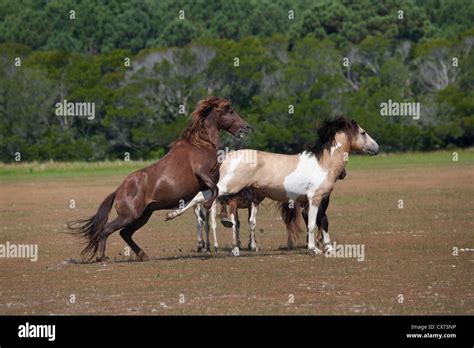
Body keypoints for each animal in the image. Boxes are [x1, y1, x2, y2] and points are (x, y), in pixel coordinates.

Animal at [69, 96, 252, 262]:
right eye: (230, 110)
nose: (247, 127)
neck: (201, 144)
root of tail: (118, 190)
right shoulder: (203, 174)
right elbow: (215, 191)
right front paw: (216, 214)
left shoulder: (207, 183)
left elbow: (215, 194)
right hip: (129, 216)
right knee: (107, 230)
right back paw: (101, 257)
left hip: (143, 216)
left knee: (124, 233)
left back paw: (142, 255)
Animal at [165, 118, 380, 254]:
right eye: (363, 132)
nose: (376, 148)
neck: (322, 163)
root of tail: (227, 156)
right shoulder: (314, 199)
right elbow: (313, 224)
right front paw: (314, 249)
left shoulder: (314, 202)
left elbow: (323, 222)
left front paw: (327, 247)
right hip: (227, 187)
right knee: (202, 198)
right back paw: (173, 214)